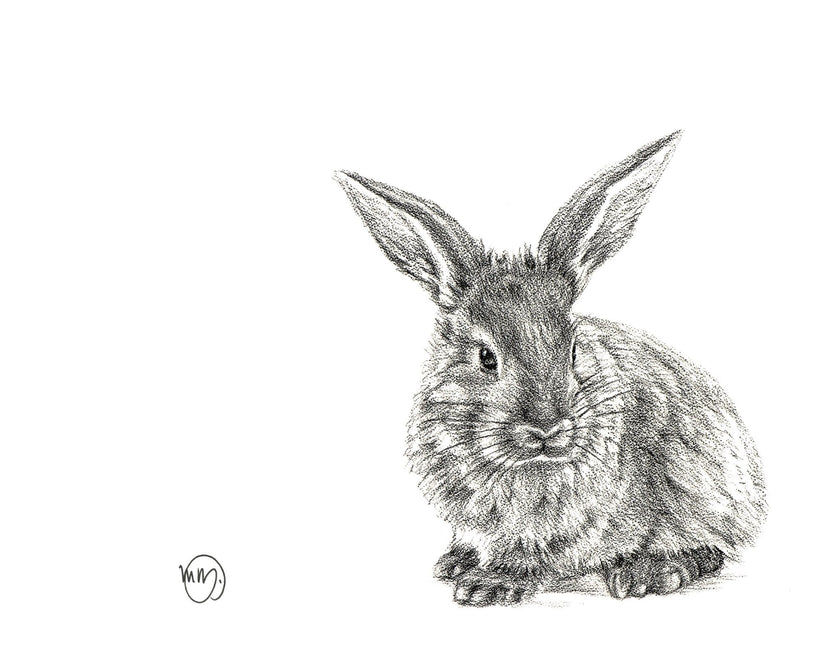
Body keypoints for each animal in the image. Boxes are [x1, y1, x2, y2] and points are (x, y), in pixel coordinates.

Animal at [335, 131, 766, 606]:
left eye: (573, 350)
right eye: (486, 357)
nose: (547, 428)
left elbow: (534, 553)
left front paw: (489, 584)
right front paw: (457, 564)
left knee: (709, 548)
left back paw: (649, 572)